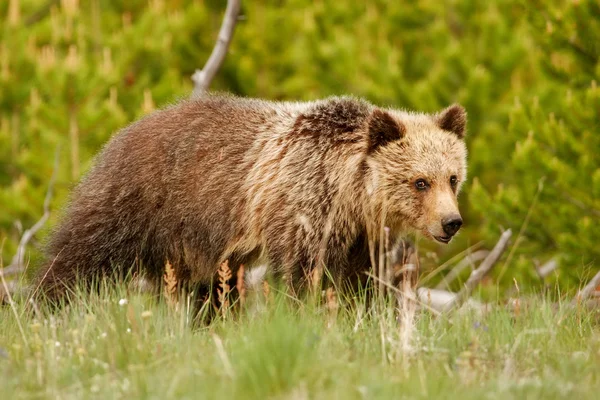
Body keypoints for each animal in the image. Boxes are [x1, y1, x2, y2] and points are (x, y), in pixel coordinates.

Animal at [34, 94, 468, 304]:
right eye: (419, 182)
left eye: (452, 178)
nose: (451, 222)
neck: (351, 196)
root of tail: (124, 130)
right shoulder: (302, 207)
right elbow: (301, 274)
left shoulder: (362, 235)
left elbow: (362, 281)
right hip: (139, 200)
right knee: (81, 254)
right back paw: (46, 303)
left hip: (196, 242)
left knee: (207, 290)